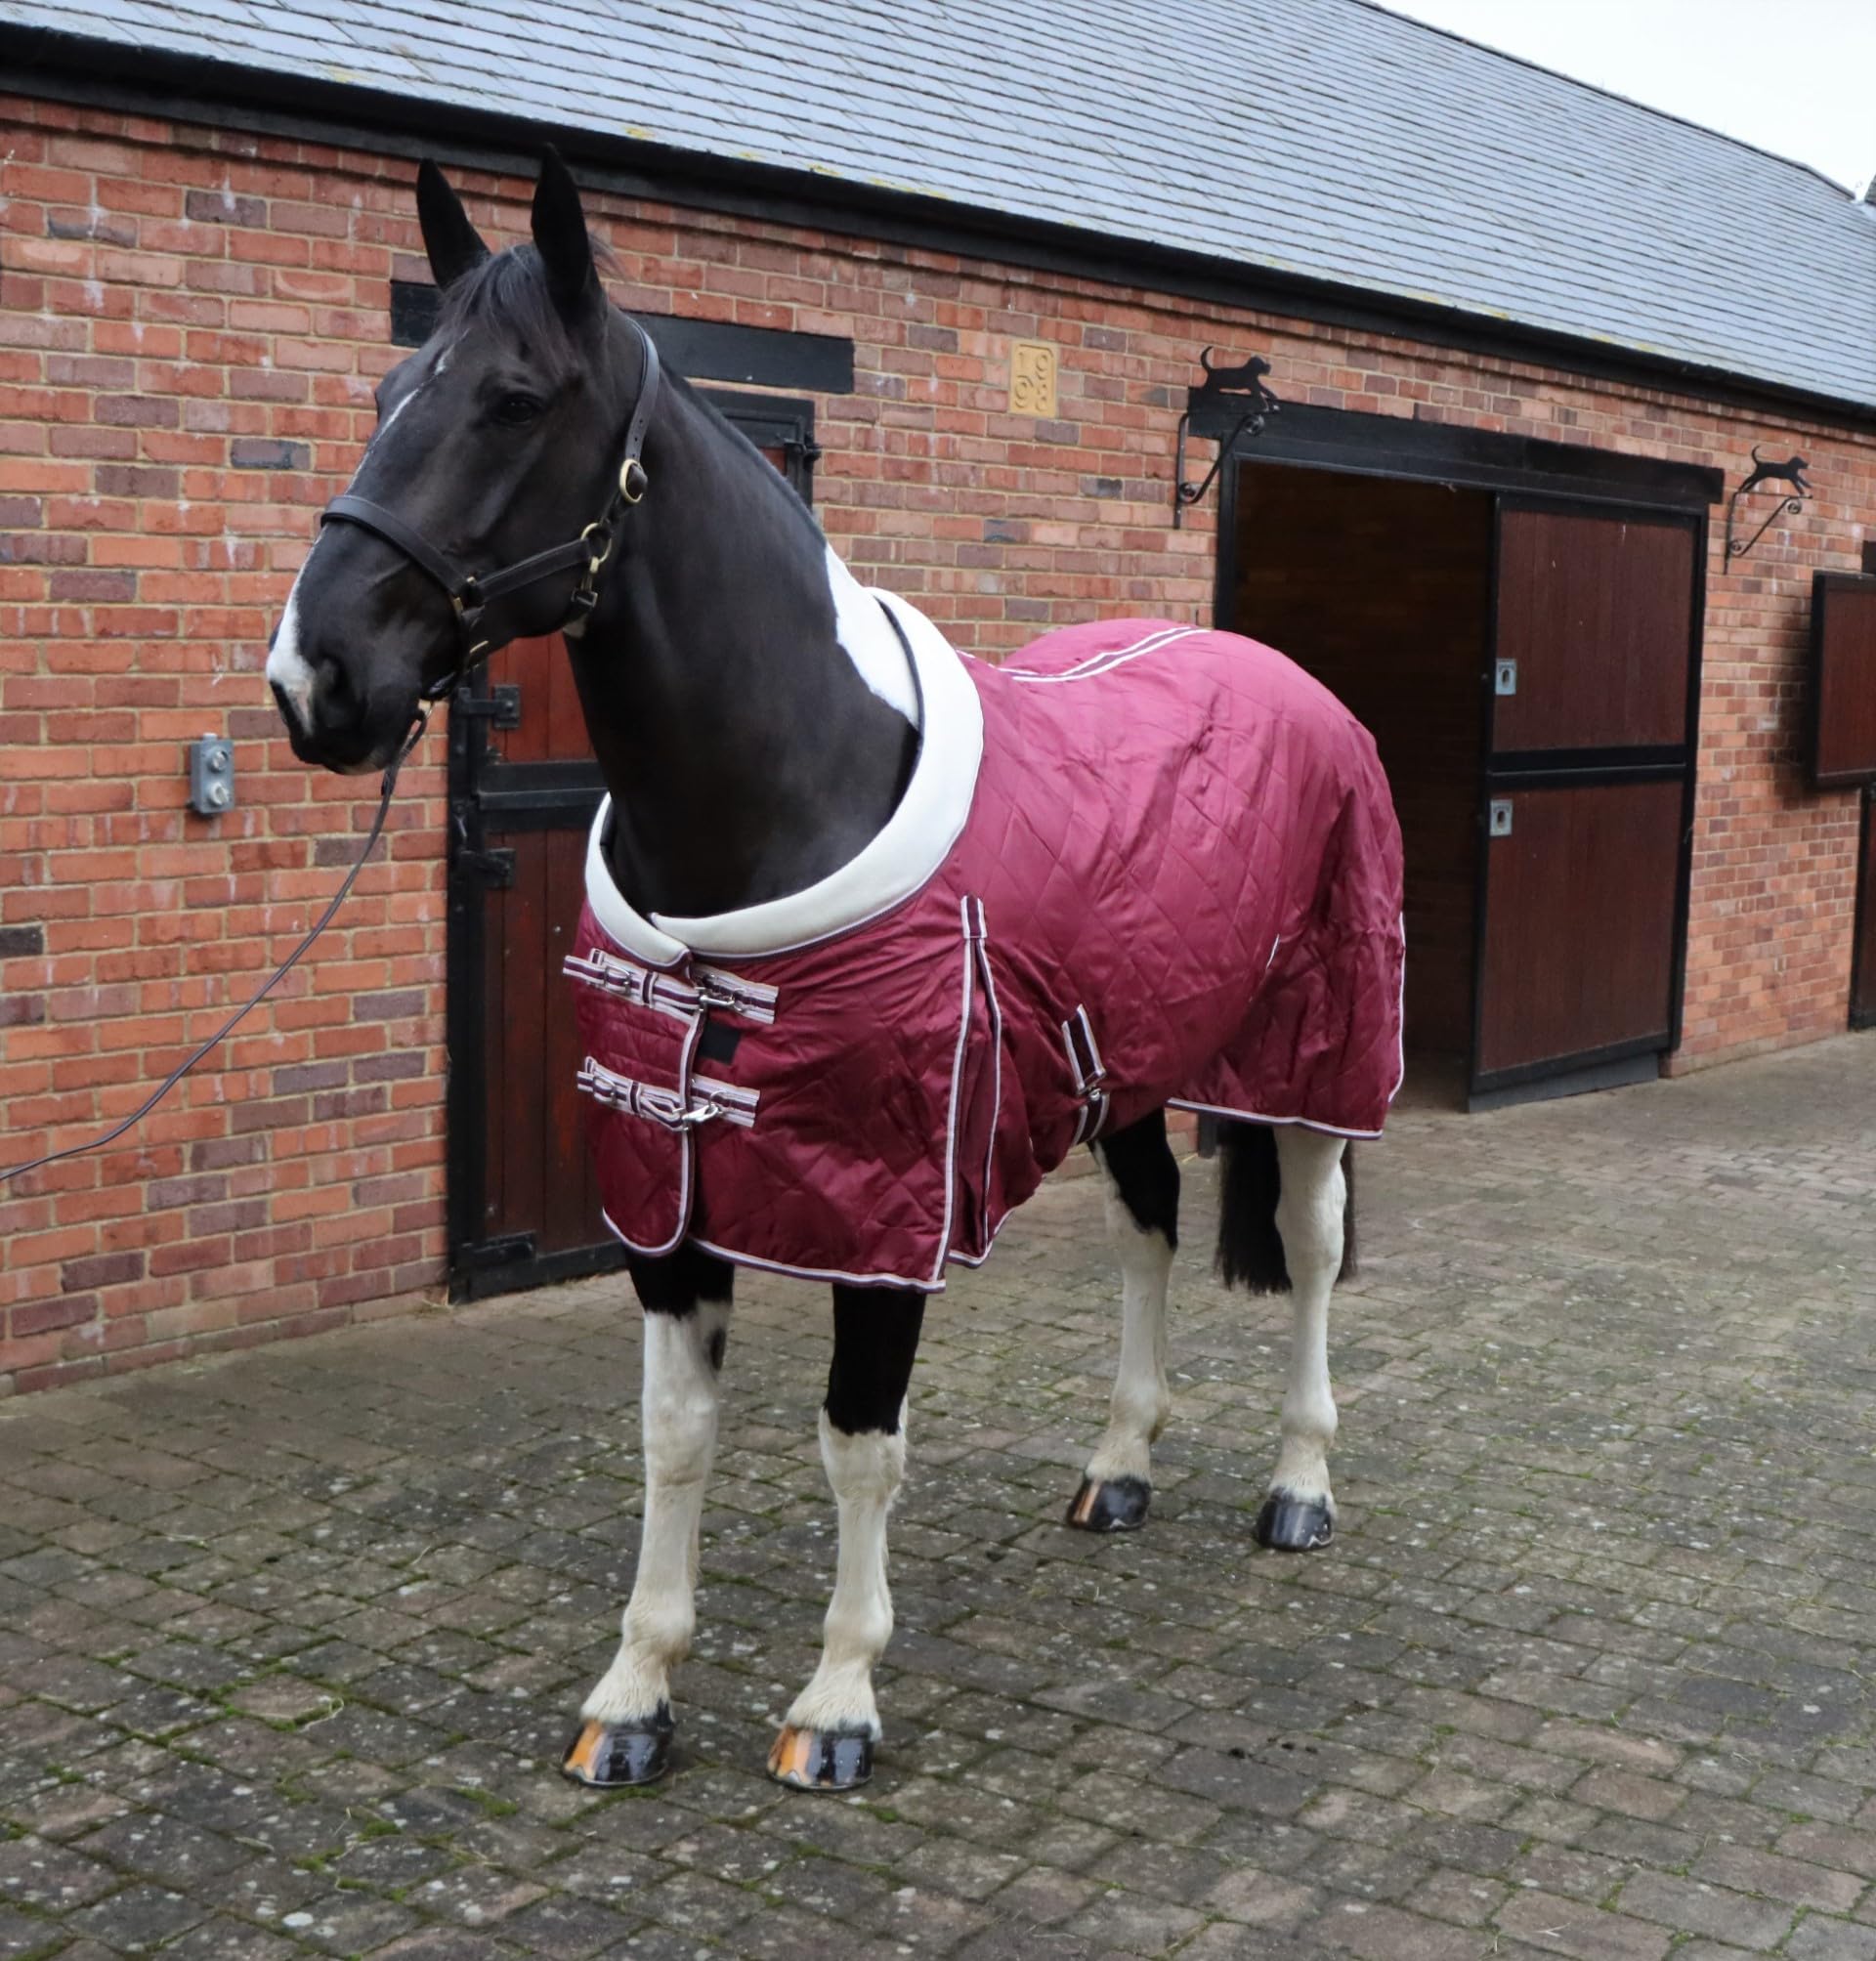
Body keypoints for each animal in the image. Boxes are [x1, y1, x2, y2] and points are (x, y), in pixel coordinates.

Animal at [268, 151, 1405, 1794]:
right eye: (383, 389)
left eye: (511, 398)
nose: (314, 679)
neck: (789, 801)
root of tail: (1280, 677)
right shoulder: (667, 1201)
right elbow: (675, 1434)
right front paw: (634, 1691)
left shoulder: (886, 1211)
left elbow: (858, 1436)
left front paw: (837, 1698)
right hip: (1124, 1067)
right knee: (1149, 1226)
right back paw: (1119, 1464)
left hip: (1315, 1059)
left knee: (1310, 1247)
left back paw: (1299, 1487)